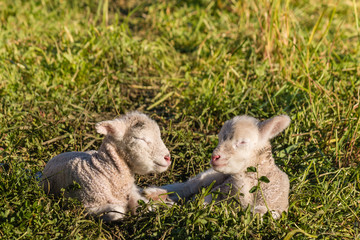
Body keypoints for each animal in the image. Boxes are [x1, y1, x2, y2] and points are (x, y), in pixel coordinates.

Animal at [41, 111, 171, 222]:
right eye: (140, 138)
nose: (168, 157)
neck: (103, 168)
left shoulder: (130, 192)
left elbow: (145, 206)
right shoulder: (87, 205)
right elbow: (118, 212)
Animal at [143, 114, 290, 219]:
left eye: (243, 142)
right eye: (219, 139)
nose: (215, 157)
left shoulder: (274, 205)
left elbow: (259, 214)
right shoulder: (221, 188)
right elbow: (203, 199)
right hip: (211, 176)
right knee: (187, 186)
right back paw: (154, 194)